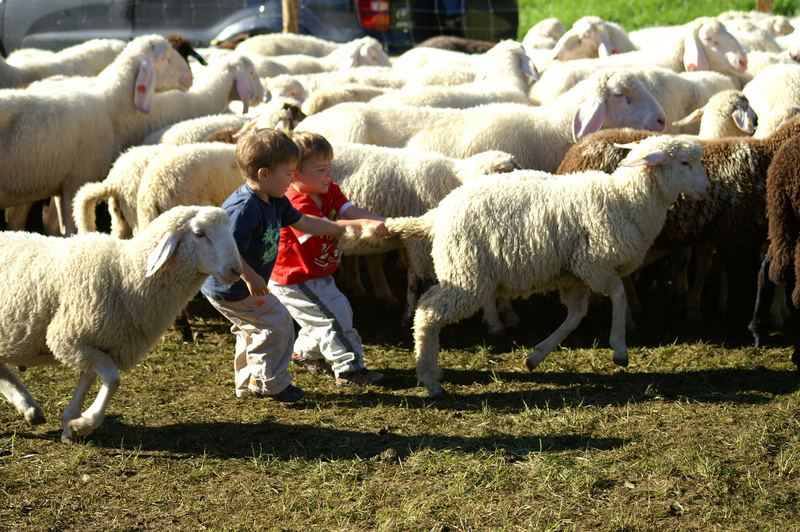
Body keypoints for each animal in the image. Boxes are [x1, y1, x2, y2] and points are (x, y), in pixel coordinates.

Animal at [0, 32, 192, 233]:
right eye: (164, 59)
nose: (190, 77)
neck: (111, 104)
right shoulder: (76, 181)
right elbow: (72, 230)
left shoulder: (62, 185)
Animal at [0, 206, 244, 442]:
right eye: (199, 233)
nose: (236, 270)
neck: (126, 272)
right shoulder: (69, 340)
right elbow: (113, 379)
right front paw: (85, 422)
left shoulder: (96, 344)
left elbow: (88, 379)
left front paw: (71, 424)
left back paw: (29, 408)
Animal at [362, 135, 708, 396]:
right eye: (684, 163)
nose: (706, 189)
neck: (625, 200)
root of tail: (438, 213)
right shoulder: (594, 263)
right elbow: (620, 295)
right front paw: (619, 350)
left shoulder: (574, 274)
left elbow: (575, 315)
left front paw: (536, 357)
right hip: (468, 275)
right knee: (428, 313)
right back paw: (429, 378)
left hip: (463, 272)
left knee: (427, 306)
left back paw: (431, 372)